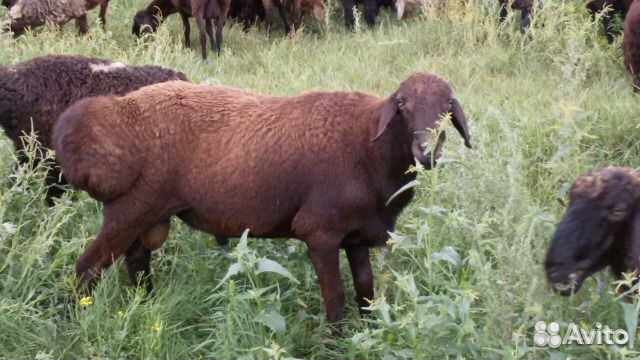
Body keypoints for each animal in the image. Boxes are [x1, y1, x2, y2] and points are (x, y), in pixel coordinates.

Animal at [52, 73, 472, 324]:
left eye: (447, 108)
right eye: (402, 106)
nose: (426, 153)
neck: (371, 149)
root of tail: (120, 117)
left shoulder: (356, 236)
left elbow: (366, 293)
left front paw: (366, 335)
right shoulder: (319, 231)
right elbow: (335, 299)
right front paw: (337, 341)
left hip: (145, 213)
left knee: (136, 262)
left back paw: (149, 307)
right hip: (130, 209)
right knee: (87, 268)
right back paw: (72, 323)